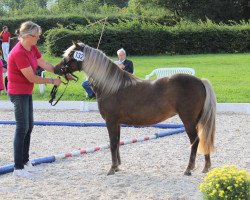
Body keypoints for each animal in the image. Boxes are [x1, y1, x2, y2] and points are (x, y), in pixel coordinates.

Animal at [54, 41, 217, 175]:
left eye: (70, 56)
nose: (56, 69)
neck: (111, 86)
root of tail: (200, 81)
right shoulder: (117, 123)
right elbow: (117, 142)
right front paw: (117, 166)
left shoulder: (110, 121)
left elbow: (112, 143)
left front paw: (112, 169)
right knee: (204, 138)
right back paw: (206, 167)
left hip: (188, 120)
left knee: (195, 141)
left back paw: (189, 169)